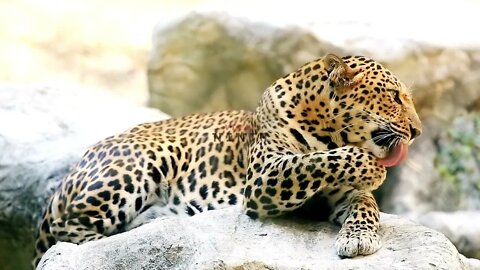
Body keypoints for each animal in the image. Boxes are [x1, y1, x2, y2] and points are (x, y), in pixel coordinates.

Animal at [32, 54, 420, 268]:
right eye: (394, 97)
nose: (417, 130)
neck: (329, 131)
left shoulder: (344, 195)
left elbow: (365, 204)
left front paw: (359, 237)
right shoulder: (264, 178)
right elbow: (317, 161)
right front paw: (372, 168)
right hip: (144, 160)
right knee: (67, 237)